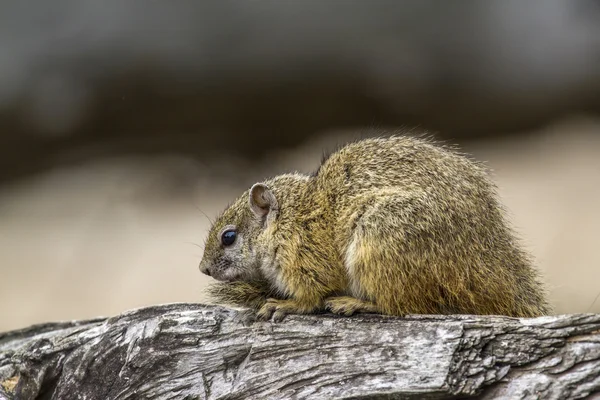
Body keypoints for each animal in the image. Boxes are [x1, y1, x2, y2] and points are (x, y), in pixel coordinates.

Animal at [199, 135, 552, 322]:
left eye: (228, 237)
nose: (203, 269)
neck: (288, 219)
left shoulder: (306, 262)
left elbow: (309, 299)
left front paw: (282, 304)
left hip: (379, 241)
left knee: (403, 306)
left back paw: (353, 303)